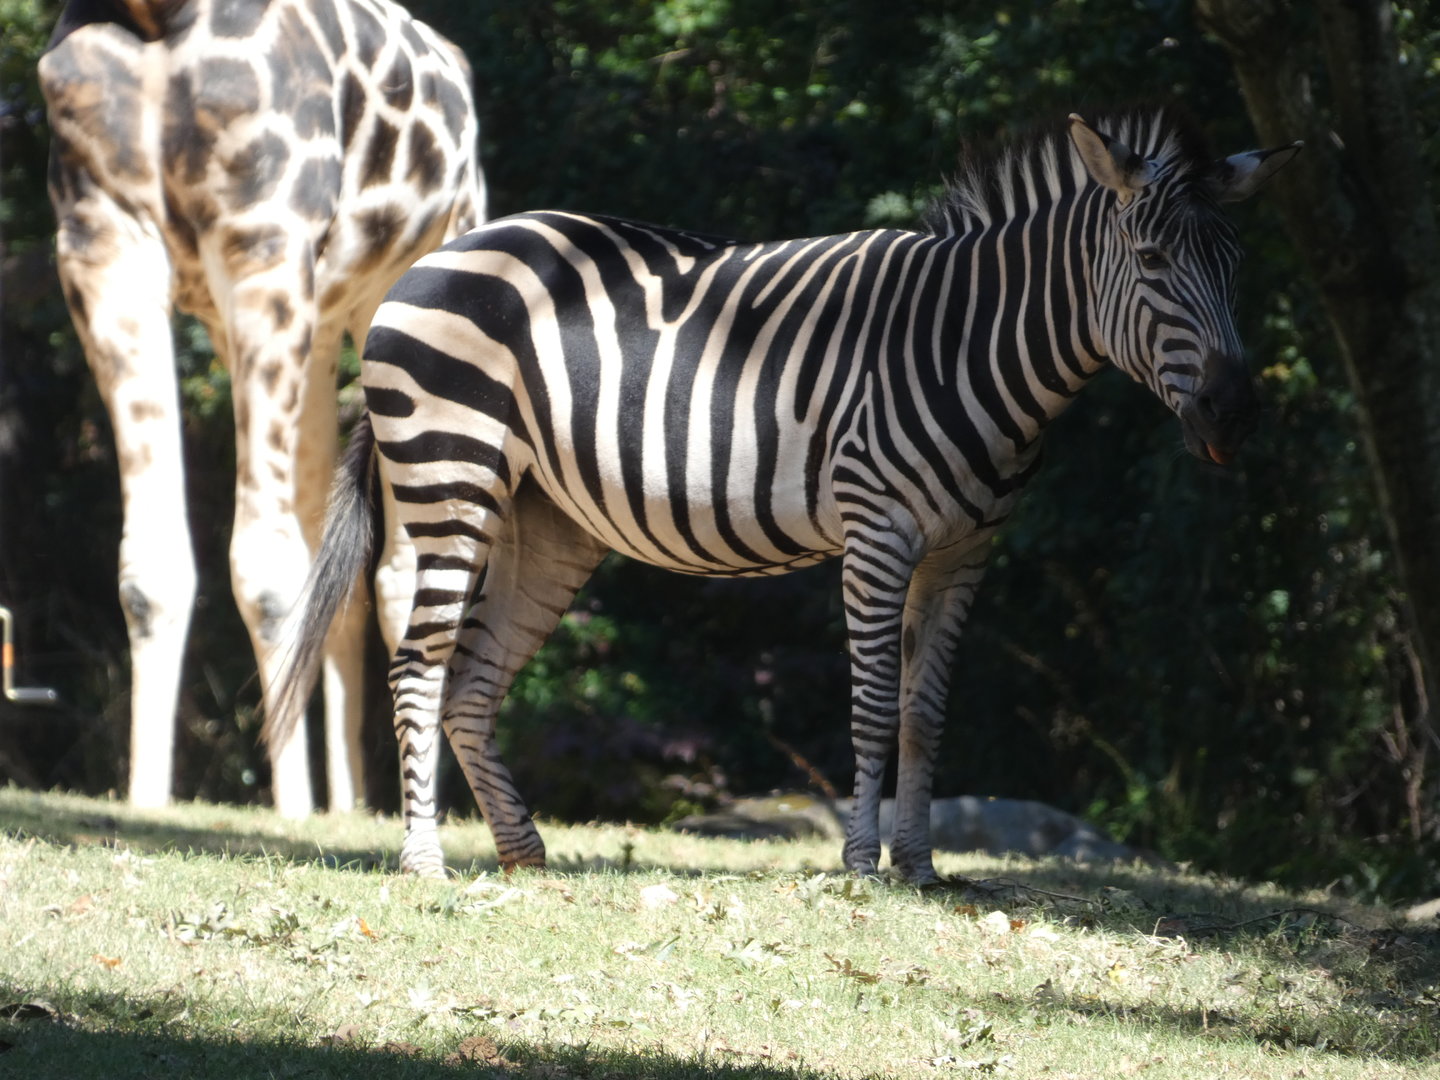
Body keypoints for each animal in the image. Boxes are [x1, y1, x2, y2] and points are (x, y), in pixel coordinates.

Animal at [39, 0, 485, 815]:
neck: (158, 22)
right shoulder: (103, 243)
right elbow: (150, 571)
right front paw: (147, 803)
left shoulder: (264, 241)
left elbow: (269, 572)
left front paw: (291, 805)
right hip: (312, 335)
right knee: (341, 556)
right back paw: (351, 805)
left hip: (406, 295)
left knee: (405, 569)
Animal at [268, 106, 1300, 881]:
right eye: (1155, 265)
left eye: (1237, 267)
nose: (1237, 412)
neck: (977, 345)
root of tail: (436, 259)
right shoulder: (880, 530)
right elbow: (874, 702)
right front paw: (861, 864)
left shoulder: (966, 552)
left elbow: (925, 714)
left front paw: (921, 869)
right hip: (451, 478)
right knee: (419, 665)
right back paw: (425, 862)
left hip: (547, 522)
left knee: (473, 680)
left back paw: (526, 854)